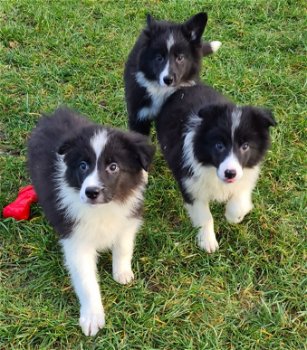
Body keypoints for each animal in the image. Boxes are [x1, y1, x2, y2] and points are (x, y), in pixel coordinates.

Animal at [27, 108, 155, 336]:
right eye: (83, 166)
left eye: (113, 167)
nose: (91, 192)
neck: (102, 209)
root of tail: (56, 113)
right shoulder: (76, 241)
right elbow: (87, 282)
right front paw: (93, 317)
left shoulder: (128, 219)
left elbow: (123, 247)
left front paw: (122, 272)